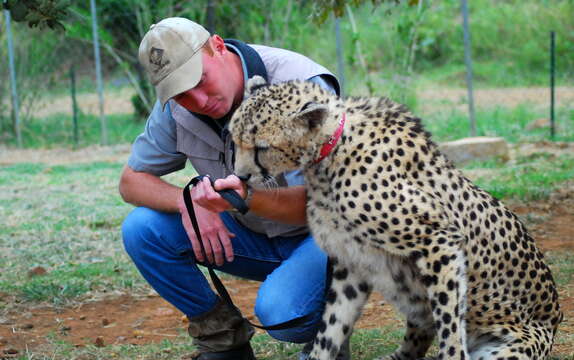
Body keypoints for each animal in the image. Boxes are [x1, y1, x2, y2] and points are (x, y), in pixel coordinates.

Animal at [228, 76, 564, 360]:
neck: (330, 151)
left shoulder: (439, 242)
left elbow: (450, 327)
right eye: (234, 139)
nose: (240, 176)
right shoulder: (354, 262)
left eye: (262, 147)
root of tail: (555, 315)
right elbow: (331, 328)